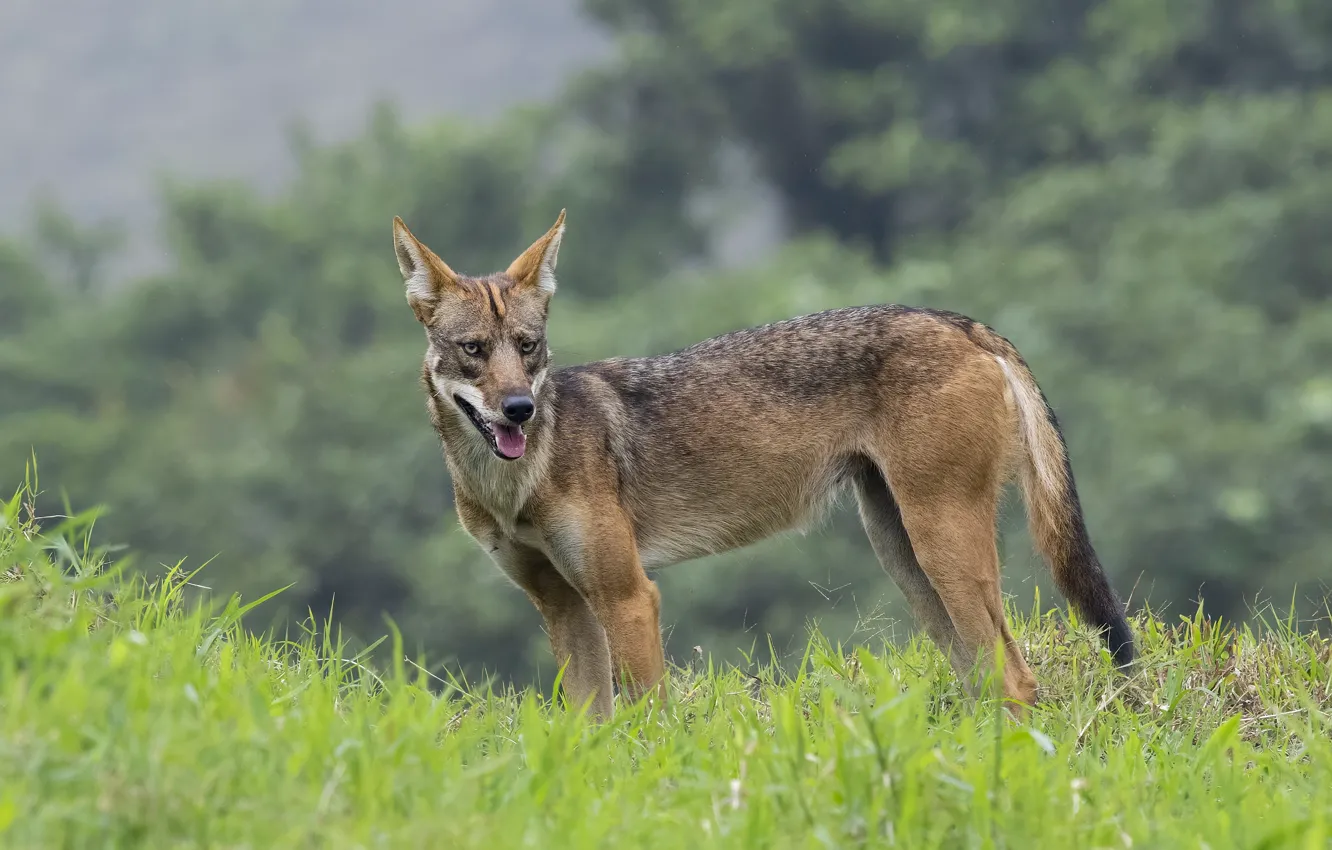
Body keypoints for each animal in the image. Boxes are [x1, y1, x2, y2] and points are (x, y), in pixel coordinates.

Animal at [391, 210, 1135, 720]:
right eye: (473, 350)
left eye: (528, 346)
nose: (518, 409)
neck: (514, 485)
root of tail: (958, 320)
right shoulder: (563, 605)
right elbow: (590, 732)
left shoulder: (628, 596)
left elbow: (651, 724)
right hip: (906, 560)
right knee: (985, 681)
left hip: (940, 550)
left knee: (1018, 681)